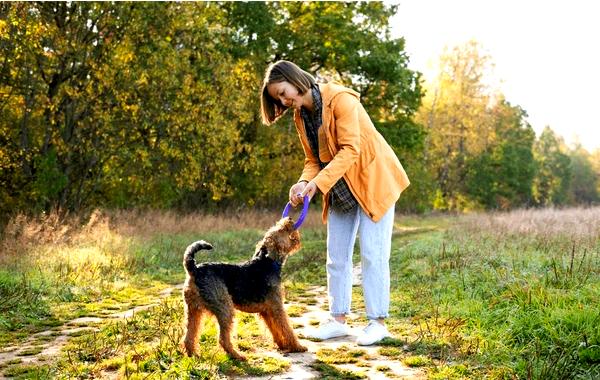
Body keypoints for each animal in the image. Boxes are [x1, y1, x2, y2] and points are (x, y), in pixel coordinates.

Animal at [179, 217, 308, 360]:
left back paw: (193, 355)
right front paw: (297, 346)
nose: (289, 219)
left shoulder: (266, 311)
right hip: (225, 308)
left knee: (189, 336)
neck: (268, 262)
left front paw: (281, 345)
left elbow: (275, 330)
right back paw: (238, 355)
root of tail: (194, 270)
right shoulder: (277, 307)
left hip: (193, 310)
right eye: (281, 229)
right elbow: (287, 328)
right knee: (223, 339)